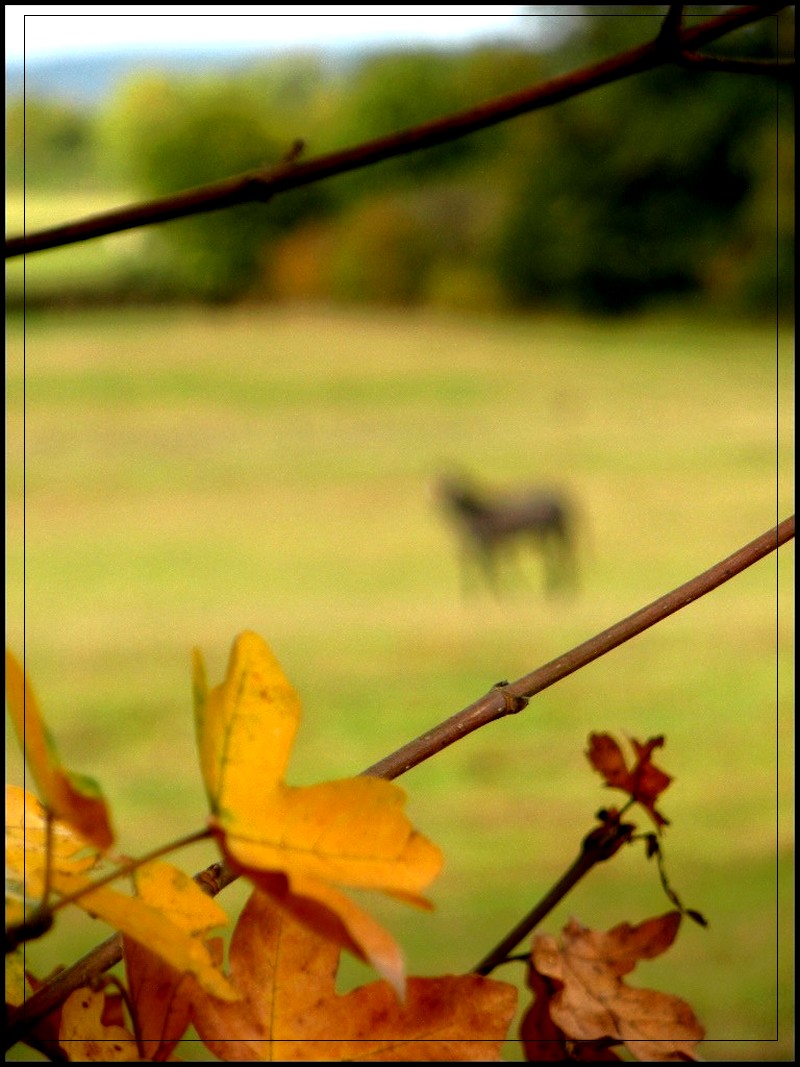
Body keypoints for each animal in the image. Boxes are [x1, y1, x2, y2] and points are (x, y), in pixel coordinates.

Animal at [435, 473, 580, 597]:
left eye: (451, 487)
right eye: (441, 487)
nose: (438, 505)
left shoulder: (487, 546)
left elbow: (488, 570)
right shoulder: (485, 547)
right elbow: (484, 568)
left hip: (550, 535)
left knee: (559, 557)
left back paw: (558, 588)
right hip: (553, 535)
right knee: (560, 557)